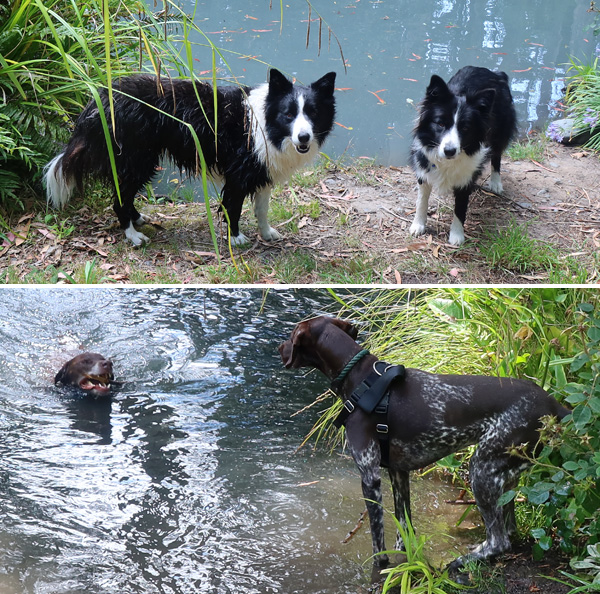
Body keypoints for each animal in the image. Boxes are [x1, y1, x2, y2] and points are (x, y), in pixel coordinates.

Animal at [45, 70, 338, 245]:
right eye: (289, 115)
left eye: (312, 113)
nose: (304, 138)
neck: (266, 125)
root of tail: (101, 98)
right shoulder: (238, 173)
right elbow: (233, 207)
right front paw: (236, 238)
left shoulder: (263, 170)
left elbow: (262, 208)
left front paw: (266, 233)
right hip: (137, 158)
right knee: (120, 198)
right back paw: (133, 235)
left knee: (125, 194)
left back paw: (137, 219)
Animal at [278, 316, 568, 568]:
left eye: (291, 335)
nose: (280, 348)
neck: (362, 380)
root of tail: (553, 405)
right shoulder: (398, 473)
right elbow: (404, 527)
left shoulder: (370, 477)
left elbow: (377, 538)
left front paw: (380, 567)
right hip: (504, 477)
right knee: (509, 529)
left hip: (482, 470)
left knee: (500, 541)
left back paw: (462, 561)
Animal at [410, 67, 516, 245]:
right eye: (440, 124)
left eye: (465, 128)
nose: (449, 151)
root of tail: (495, 72)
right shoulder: (423, 166)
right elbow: (421, 200)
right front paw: (418, 225)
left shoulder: (466, 177)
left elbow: (460, 207)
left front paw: (456, 236)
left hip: (500, 130)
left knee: (497, 154)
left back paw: (496, 182)